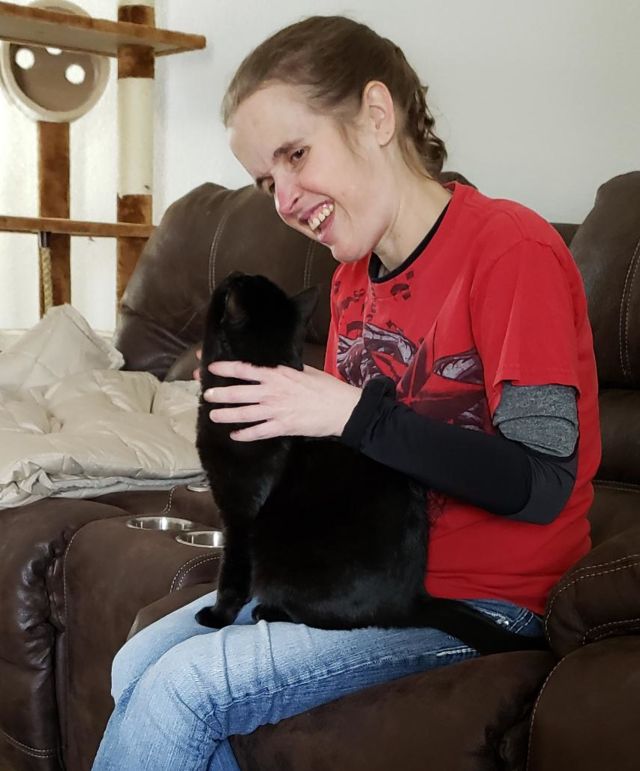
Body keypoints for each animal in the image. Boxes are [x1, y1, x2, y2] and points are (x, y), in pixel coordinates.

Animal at [194, 272, 546, 654]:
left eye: (231, 286)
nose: (233, 274)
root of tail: (411, 602)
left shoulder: (239, 516)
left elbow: (231, 575)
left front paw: (216, 615)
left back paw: (268, 610)